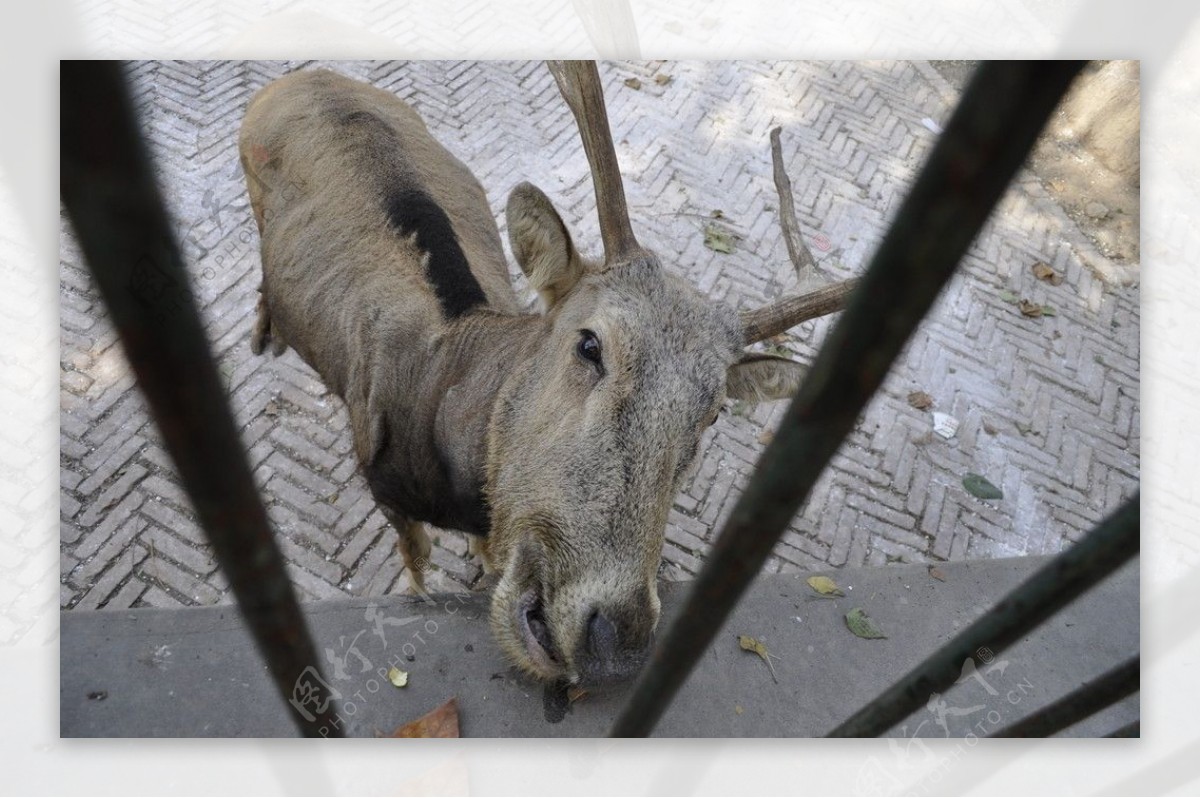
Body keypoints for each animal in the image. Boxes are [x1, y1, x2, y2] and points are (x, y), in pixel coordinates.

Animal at [236, 60, 854, 686]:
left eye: (714, 413)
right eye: (590, 344)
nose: (616, 638)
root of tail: (304, 75)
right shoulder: (381, 484)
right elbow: (416, 566)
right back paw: (265, 332)